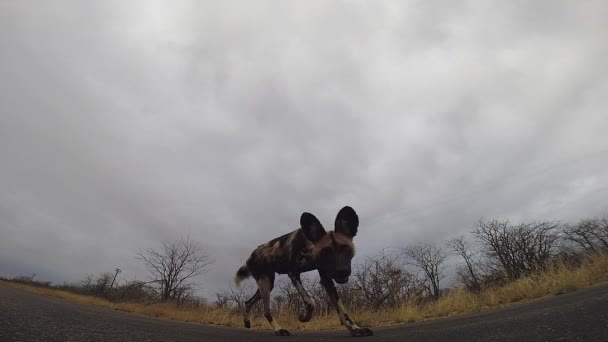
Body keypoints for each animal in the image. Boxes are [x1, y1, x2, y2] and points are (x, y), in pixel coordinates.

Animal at [235, 206, 372, 336]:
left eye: (345, 248)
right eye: (326, 252)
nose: (341, 271)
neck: (309, 248)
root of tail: (250, 257)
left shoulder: (327, 279)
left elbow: (342, 310)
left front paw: (355, 329)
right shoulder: (293, 274)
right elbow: (310, 303)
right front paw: (304, 317)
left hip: (267, 284)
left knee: (247, 302)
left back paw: (247, 322)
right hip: (265, 283)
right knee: (266, 311)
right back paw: (279, 330)